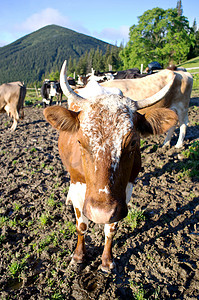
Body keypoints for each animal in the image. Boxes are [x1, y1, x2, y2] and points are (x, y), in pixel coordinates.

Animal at [43, 61, 177, 272]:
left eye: (133, 142)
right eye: (80, 141)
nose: (101, 213)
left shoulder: (126, 190)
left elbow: (111, 228)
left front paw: (107, 261)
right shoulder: (79, 185)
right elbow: (81, 225)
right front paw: (78, 256)